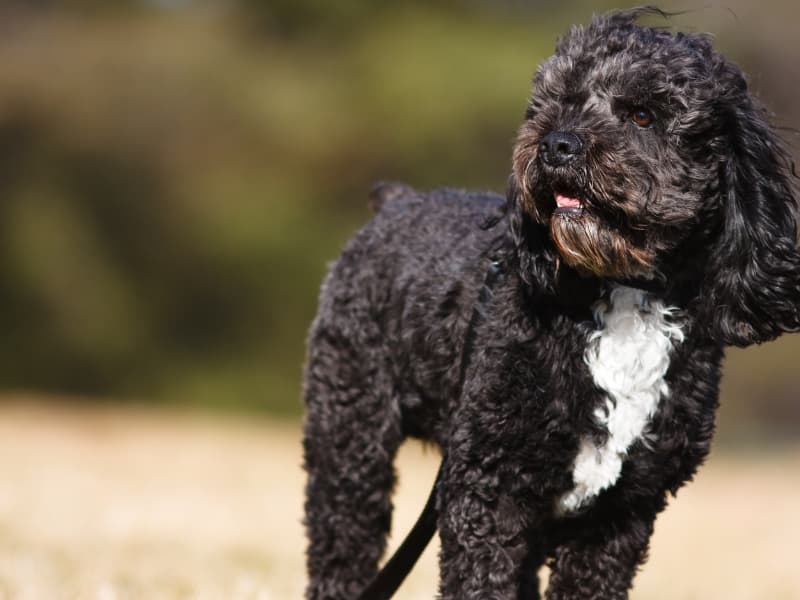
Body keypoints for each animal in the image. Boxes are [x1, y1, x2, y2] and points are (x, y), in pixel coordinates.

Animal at [302, 8, 800, 600]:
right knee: (342, 541)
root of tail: (396, 202)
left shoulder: (621, 514)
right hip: (351, 430)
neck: (620, 291)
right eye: (559, 102)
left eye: (642, 114)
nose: (557, 145)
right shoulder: (489, 487)